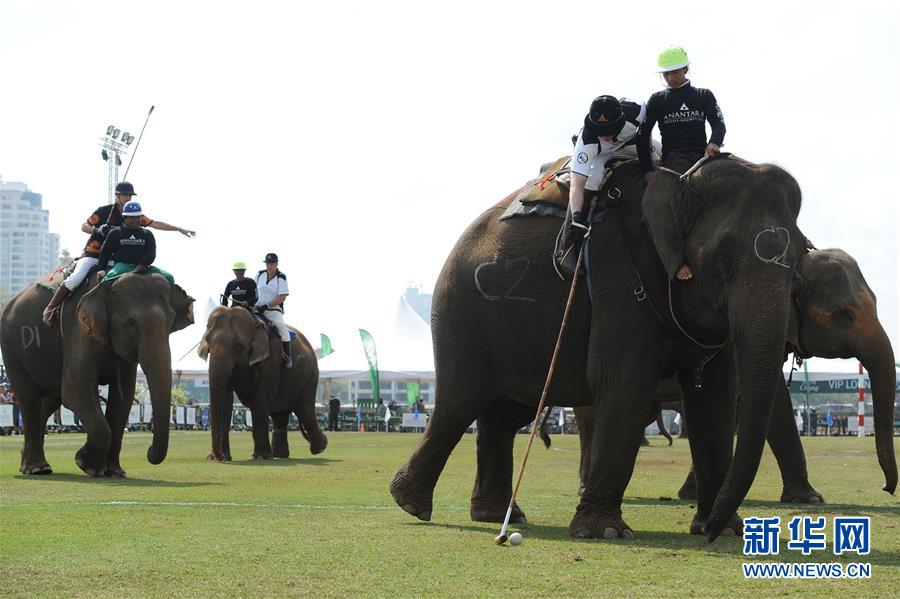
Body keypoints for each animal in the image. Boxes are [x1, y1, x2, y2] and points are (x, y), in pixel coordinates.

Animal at [0, 270, 193, 476]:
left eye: (171, 323)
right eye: (131, 324)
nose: (148, 451)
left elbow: (124, 398)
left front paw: (116, 472)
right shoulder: (78, 328)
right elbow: (75, 389)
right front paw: (86, 465)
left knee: (48, 402)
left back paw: (31, 462)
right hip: (11, 349)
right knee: (29, 400)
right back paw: (37, 469)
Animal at [197, 308, 326, 462]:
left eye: (237, 346)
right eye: (208, 345)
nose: (219, 457)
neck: (255, 322)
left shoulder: (272, 358)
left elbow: (260, 400)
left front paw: (260, 457)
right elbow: (225, 400)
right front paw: (218, 458)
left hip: (310, 375)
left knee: (304, 410)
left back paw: (319, 448)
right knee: (280, 414)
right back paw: (280, 455)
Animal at [388, 157, 892, 540]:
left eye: (796, 268)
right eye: (844, 313)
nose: (889, 489)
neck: (679, 186)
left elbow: (715, 397)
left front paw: (721, 527)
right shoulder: (617, 271)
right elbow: (625, 381)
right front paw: (606, 533)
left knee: (504, 415)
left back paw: (497, 515)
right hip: (462, 315)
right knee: (460, 404)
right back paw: (412, 504)